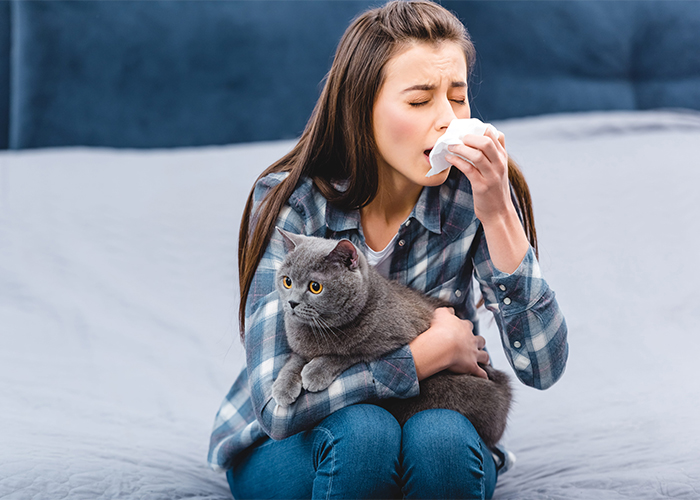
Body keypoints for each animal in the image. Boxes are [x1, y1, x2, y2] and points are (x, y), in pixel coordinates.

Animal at [270, 229, 512, 448]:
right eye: (287, 281)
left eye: (315, 287)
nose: (291, 303)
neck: (318, 331)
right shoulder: (300, 348)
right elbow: (294, 360)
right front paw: (282, 387)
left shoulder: (396, 336)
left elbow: (350, 353)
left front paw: (315, 371)